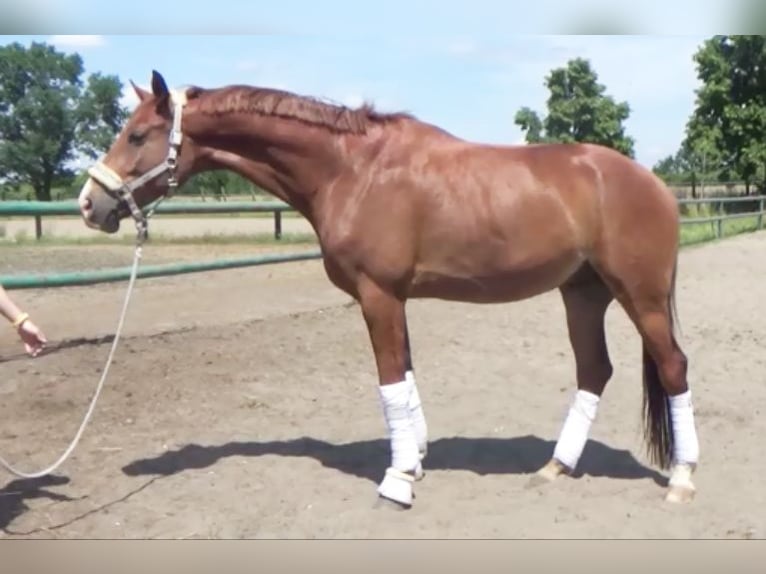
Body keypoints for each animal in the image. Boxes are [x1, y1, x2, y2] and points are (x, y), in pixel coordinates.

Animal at [78, 71, 704, 508]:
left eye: (137, 134)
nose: (89, 204)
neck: (352, 169)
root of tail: (653, 183)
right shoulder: (394, 300)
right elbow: (404, 378)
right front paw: (415, 461)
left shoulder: (378, 295)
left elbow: (388, 383)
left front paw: (398, 480)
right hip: (582, 294)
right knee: (594, 370)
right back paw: (557, 466)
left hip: (640, 297)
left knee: (673, 367)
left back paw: (681, 479)